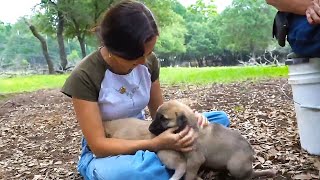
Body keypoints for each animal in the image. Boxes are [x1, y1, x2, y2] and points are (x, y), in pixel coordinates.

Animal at [104, 100, 276, 180]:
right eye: (156, 116)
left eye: (163, 119)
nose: (150, 129)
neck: (191, 126)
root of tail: (251, 156)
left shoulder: (194, 159)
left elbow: (189, 174)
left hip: (235, 166)